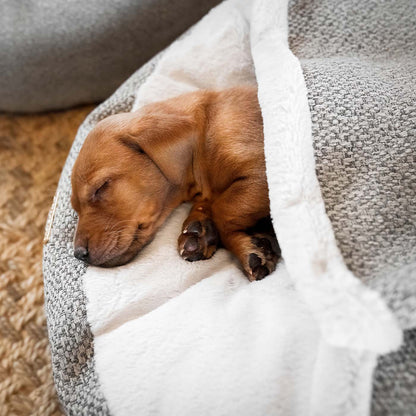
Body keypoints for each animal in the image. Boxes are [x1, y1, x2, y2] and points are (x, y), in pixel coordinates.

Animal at [71, 86, 282, 280]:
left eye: (100, 187)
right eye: (75, 207)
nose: (79, 254)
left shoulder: (261, 171)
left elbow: (223, 210)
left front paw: (249, 247)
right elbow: (215, 204)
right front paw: (201, 231)